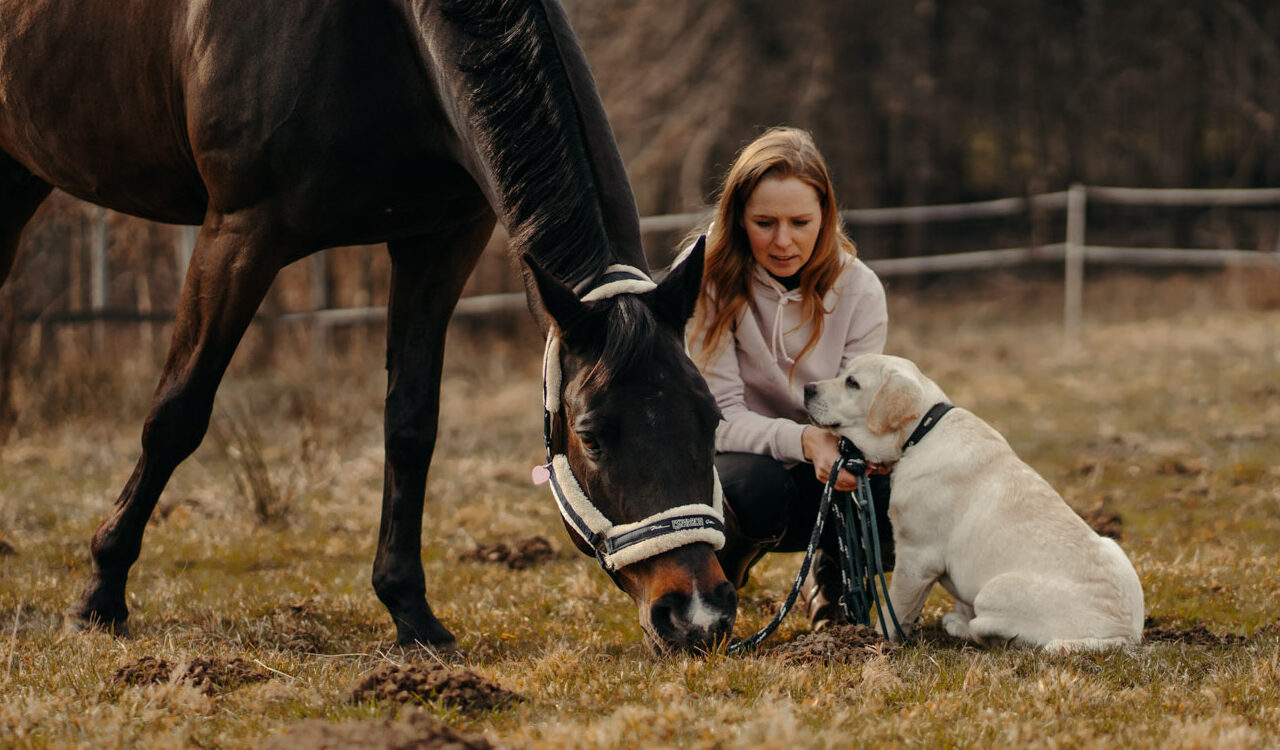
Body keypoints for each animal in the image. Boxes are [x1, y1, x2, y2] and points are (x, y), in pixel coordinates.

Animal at [0, 0, 742, 650]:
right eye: (589, 434)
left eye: (711, 419)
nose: (697, 613)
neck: (381, 31)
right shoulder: (239, 235)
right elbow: (176, 414)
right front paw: (99, 596)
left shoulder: (440, 240)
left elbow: (410, 426)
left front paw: (410, 611)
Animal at [803, 350, 1146, 647]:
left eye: (852, 382)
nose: (807, 388)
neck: (921, 433)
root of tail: (1122, 635)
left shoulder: (916, 556)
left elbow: (894, 609)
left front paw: (878, 640)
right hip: (1111, 546)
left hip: (995, 591)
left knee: (988, 631)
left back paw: (958, 626)